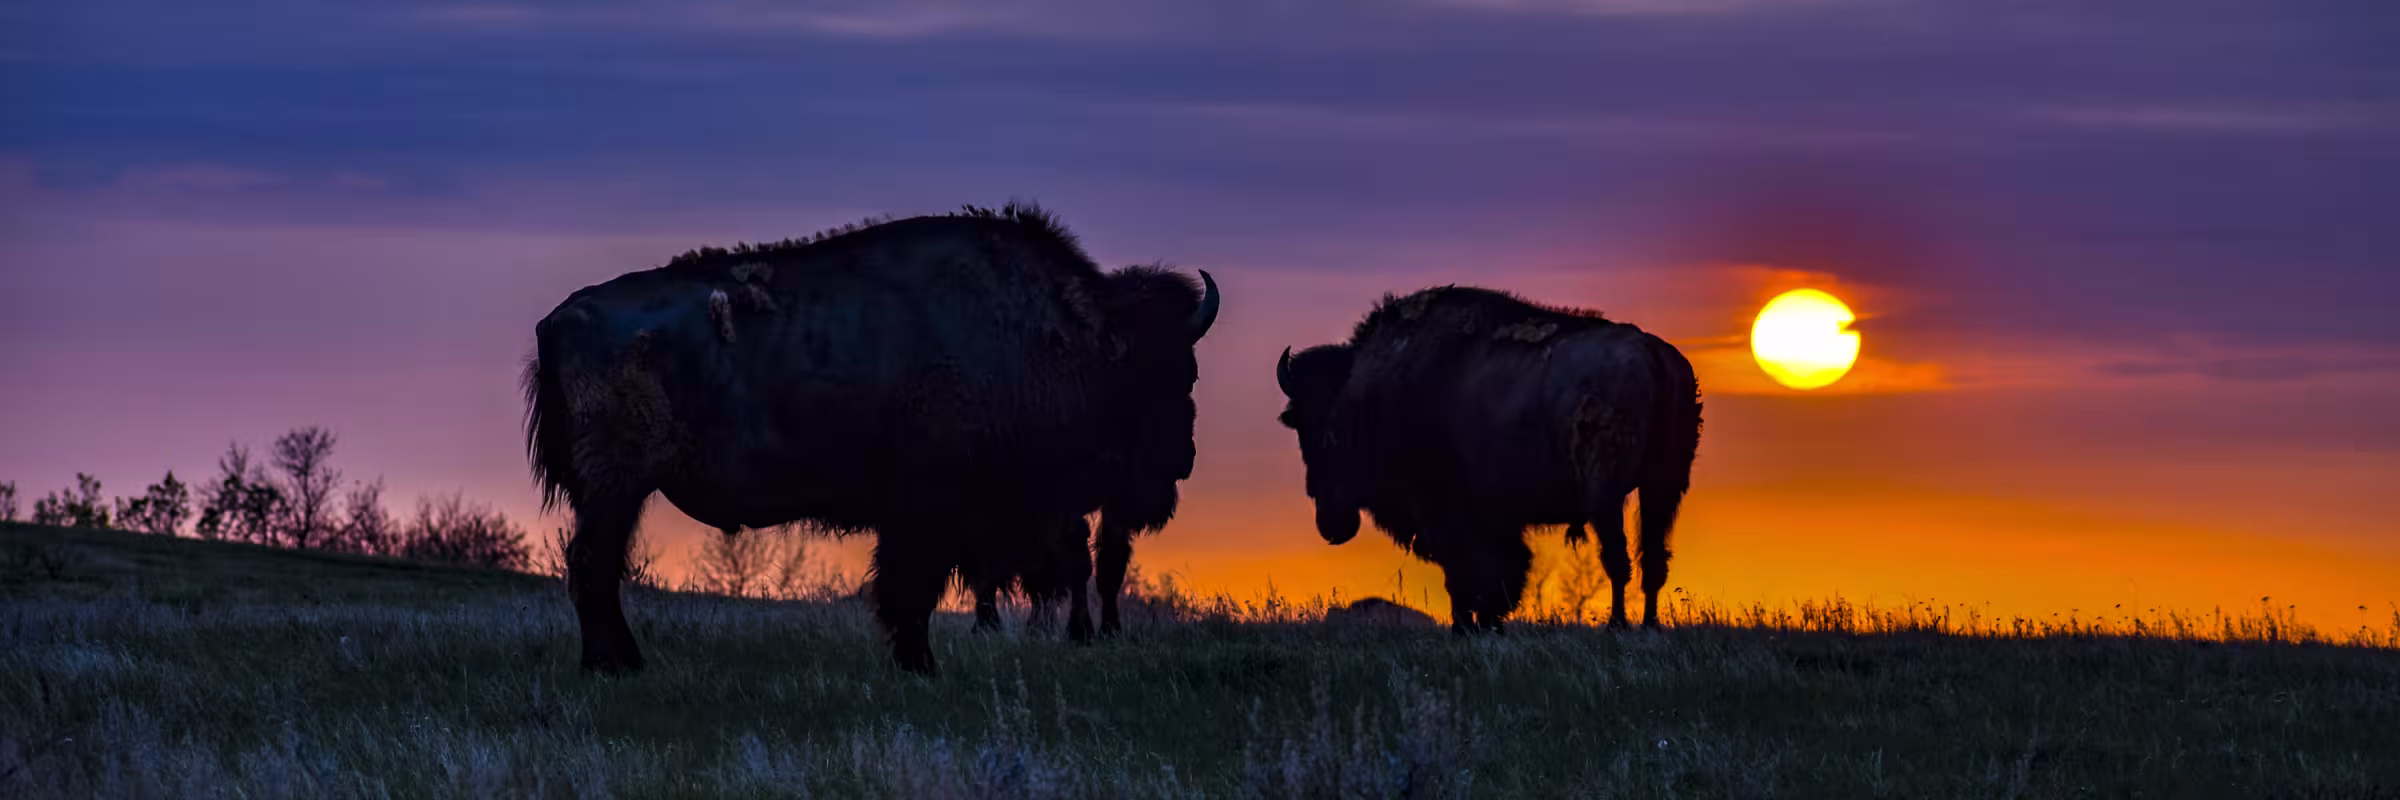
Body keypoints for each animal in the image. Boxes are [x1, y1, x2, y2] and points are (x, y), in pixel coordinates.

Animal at [524, 203, 1217, 674]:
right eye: (1169, 375)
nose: (1181, 461)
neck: (1051, 336)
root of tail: (559, 317)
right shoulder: (930, 513)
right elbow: (912, 589)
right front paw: (920, 664)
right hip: (616, 485)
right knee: (593, 563)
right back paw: (615, 665)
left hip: (614, 489)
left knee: (595, 565)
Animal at [1275, 286, 1700, 631]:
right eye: (1299, 420)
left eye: (1316, 426)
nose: (1331, 526)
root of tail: (1652, 353)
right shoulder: (1495, 518)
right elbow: (1501, 572)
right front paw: (1489, 625)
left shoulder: (1447, 513)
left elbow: (1468, 573)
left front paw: (1465, 628)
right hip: (1662, 487)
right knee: (1652, 560)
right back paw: (1648, 626)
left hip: (1605, 495)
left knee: (1618, 558)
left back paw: (1617, 626)